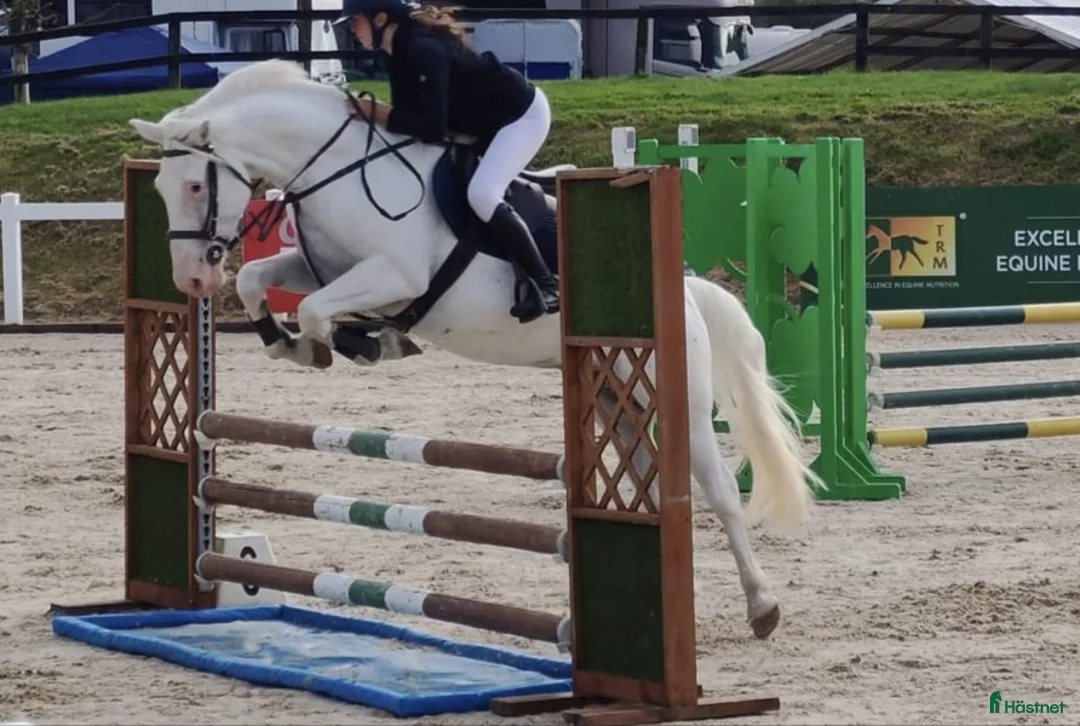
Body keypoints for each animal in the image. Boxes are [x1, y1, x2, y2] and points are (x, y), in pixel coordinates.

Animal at [128, 59, 825, 640]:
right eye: (159, 188)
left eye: (196, 186)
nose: (192, 281)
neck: (336, 169)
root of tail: (687, 293)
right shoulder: (321, 267)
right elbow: (260, 282)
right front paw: (299, 348)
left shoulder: (397, 274)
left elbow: (318, 311)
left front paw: (369, 342)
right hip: (615, 395)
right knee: (645, 473)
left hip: (678, 394)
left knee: (717, 488)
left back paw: (762, 607)